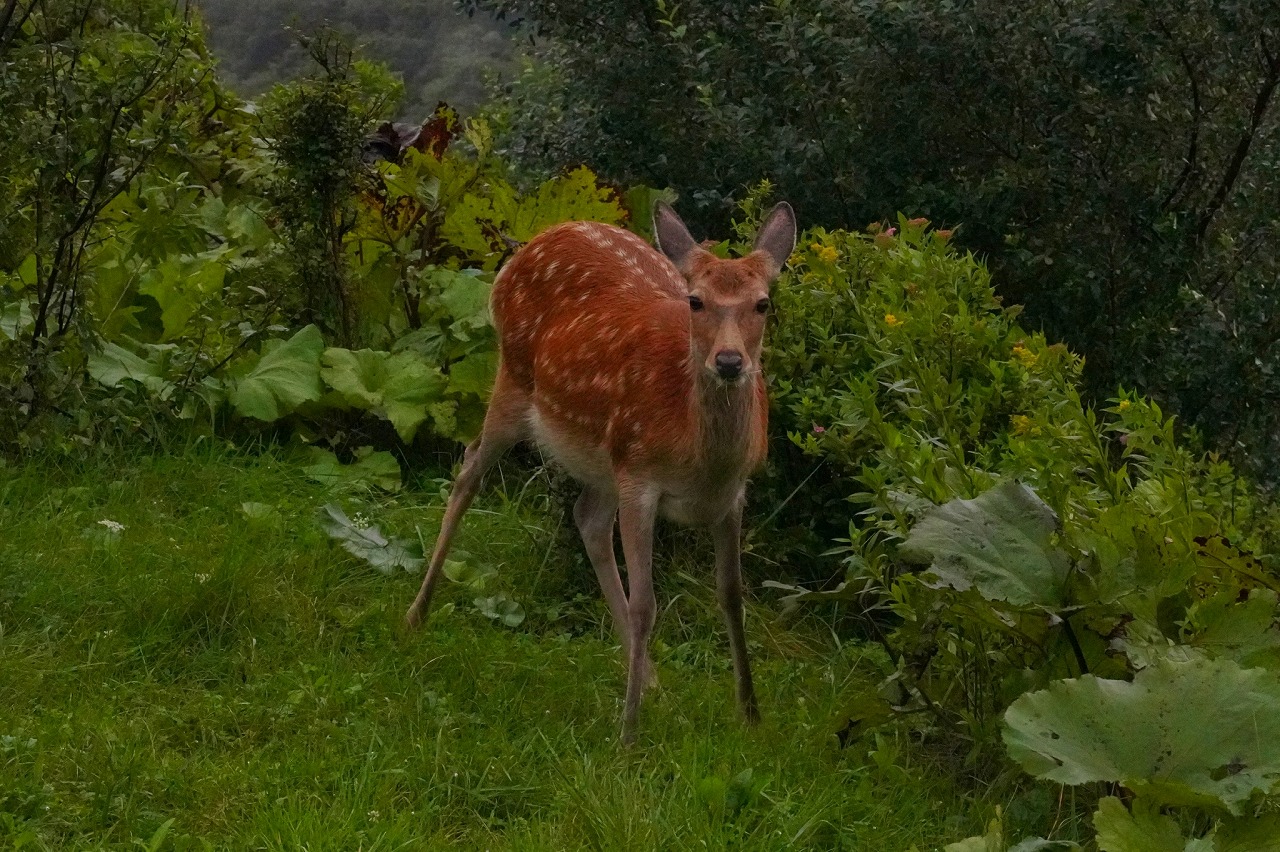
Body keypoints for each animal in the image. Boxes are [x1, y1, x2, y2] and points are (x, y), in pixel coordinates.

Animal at [404, 200, 793, 741]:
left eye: (763, 304)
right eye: (695, 301)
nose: (730, 361)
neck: (701, 463)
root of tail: (536, 240)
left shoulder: (733, 494)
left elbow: (732, 597)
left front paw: (750, 714)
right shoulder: (640, 478)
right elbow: (646, 603)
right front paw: (628, 733)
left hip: (603, 457)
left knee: (586, 516)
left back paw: (650, 679)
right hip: (515, 379)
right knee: (468, 471)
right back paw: (416, 612)